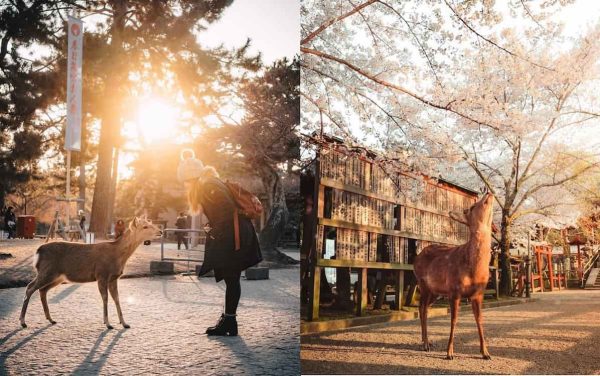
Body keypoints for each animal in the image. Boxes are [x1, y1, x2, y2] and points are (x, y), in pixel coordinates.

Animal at [20, 217, 162, 328]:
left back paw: (50, 319)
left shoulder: (114, 277)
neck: (118, 256)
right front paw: (108, 323)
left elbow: (116, 298)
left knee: (42, 290)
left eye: (150, 223)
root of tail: (38, 251)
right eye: (145, 226)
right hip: (47, 271)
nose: (160, 231)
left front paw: (124, 323)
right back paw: (23, 322)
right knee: (30, 288)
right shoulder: (101, 274)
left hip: (57, 276)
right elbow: (105, 298)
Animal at [414, 192, 494, 360]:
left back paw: (427, 342)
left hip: (435, 291)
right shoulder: (454, 290)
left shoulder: (478, 293)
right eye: (472, 207)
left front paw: (486, 353)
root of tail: (417, 257)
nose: (488, 193)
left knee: (424, 308)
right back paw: (425, 344)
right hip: (423, 284)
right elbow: (454, 320)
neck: (474, 270)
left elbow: (480, 320)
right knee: (422, 308)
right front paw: (449, 353)